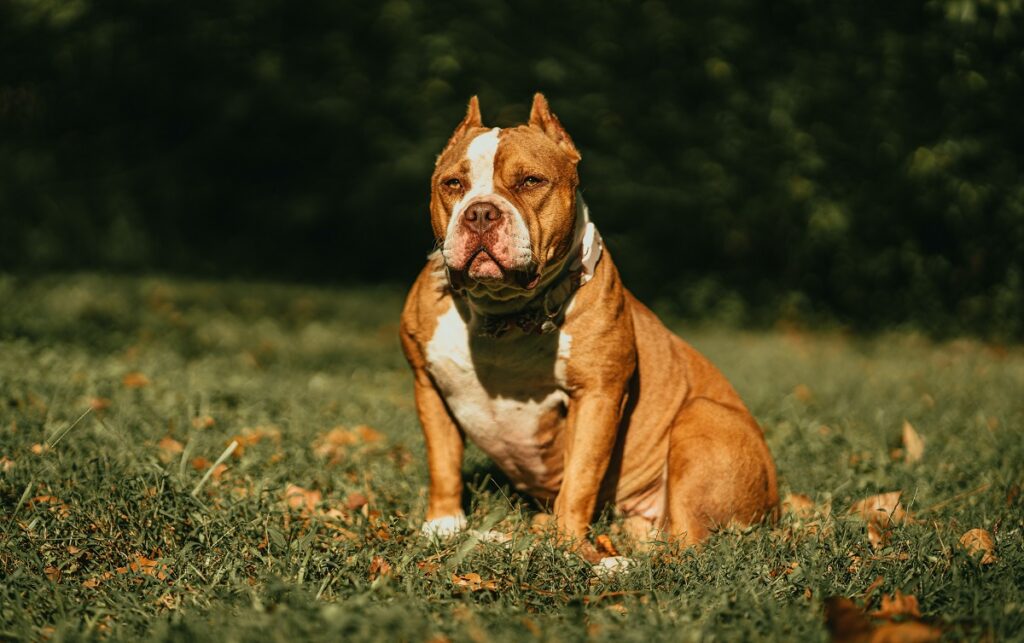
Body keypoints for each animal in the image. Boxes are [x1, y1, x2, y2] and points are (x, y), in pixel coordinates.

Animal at [399, 93, 774, 561]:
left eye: (531, 181)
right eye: (452, 184)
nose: (481, 213)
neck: (505, 313)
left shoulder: (598, 395)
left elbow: (580, 477)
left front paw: (568, 546)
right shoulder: (428, 384)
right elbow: (443, 462)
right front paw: (444, 525)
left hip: (702, 418)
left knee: (687, 545)